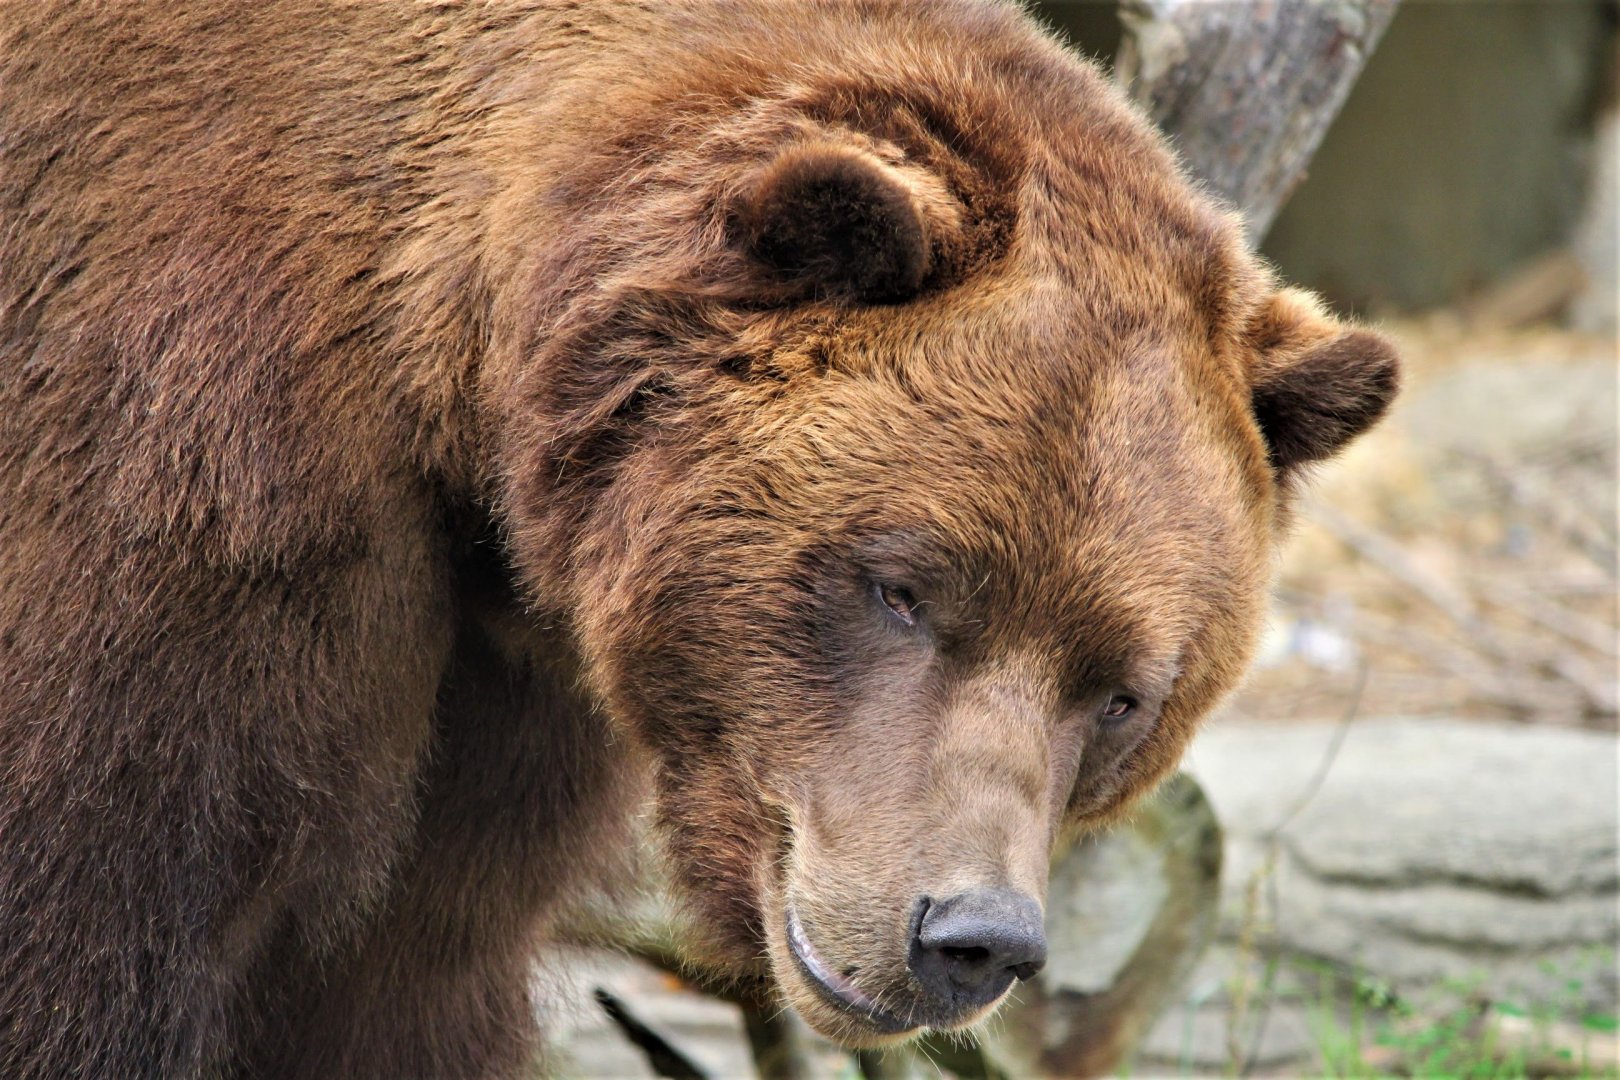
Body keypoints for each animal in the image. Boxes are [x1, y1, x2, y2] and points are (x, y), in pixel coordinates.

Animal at [0, 1, 1398, 1077]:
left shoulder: (502, 705)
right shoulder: (198, 488)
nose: (969, 938)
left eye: (1123, 694)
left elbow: (396, 974)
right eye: (902, 588)